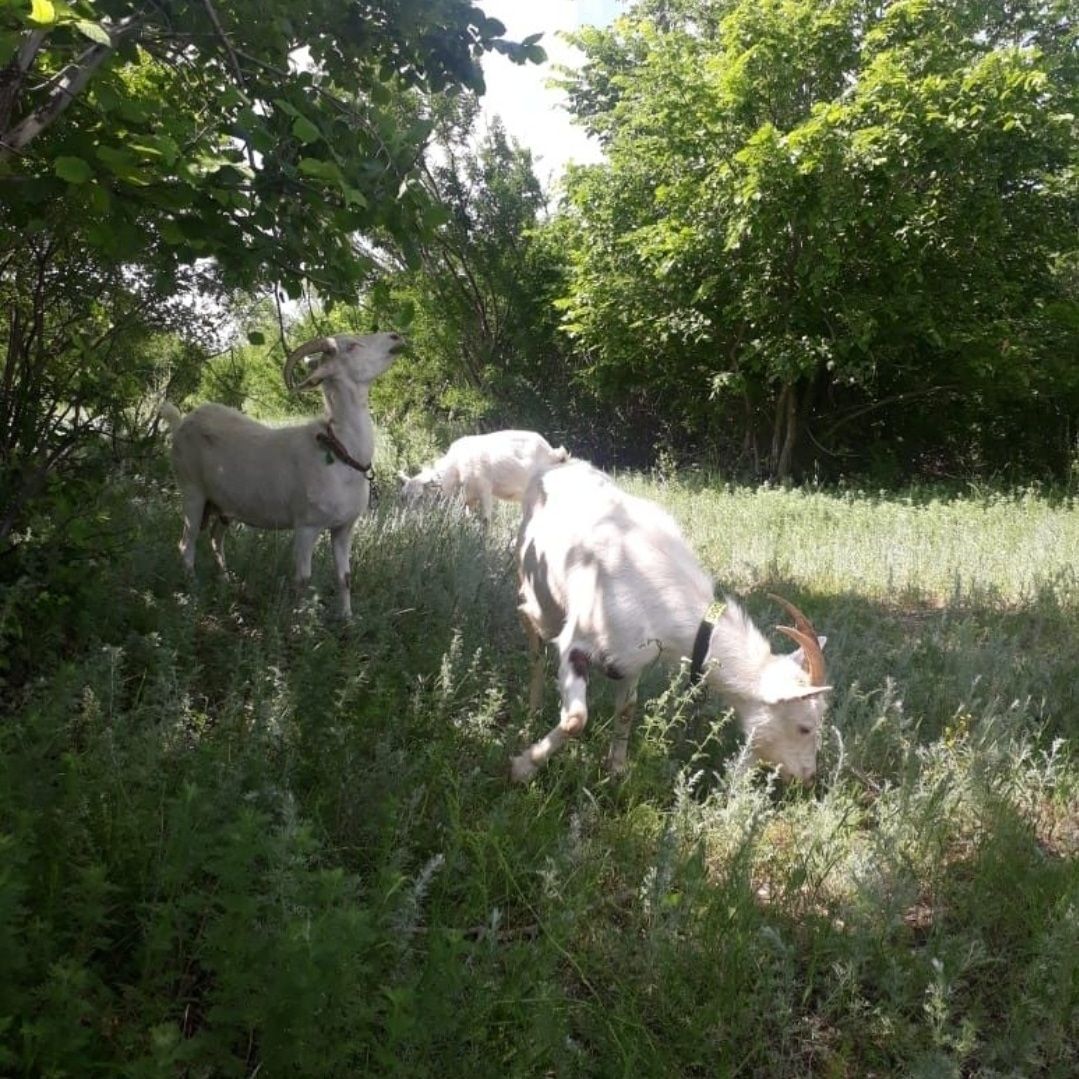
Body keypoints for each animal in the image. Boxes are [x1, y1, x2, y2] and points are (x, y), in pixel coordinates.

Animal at [161, 328, 405, 617]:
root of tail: (181, 423)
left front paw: (347, 619)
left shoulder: (344, 527)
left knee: (215, 539)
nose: (396, 337)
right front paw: (298, 622)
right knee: (186, 544)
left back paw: (225, 581)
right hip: (191, 489)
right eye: (352, 346)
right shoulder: (306, 526)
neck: (341, 452)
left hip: (223, 506)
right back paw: (192, 593)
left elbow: (345, 577)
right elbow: (303, 580)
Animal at [397, 427, 565, 524]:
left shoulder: (484, 491)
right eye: (403, 497)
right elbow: (467, 519)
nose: (408, 520)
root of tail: (552, 452)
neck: (456, 469)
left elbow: (485, 521)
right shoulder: (469, 498)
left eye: (420, 497)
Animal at [509, 461, 828, 785]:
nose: (808, 776)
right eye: (805, 726)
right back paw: (531, 712)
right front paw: (523, 767)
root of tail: (555, 463)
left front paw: (617, 770)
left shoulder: (631, 661)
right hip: (539, 587)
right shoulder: (578, 641)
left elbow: (626, 709)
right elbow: (576, 720)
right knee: (530, 624)